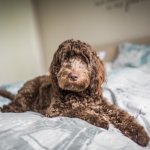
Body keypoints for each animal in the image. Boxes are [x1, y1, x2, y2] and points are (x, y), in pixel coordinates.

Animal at [0, 39, 149, 146]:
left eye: (84, 59)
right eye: (65, 58)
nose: (72, 75)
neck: (80, 94)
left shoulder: (104, 106)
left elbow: (123, 116)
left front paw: (140, 133)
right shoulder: (54, 110)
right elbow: (78, 109)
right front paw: (99, 119)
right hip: (26, 97)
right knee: (10, 107)